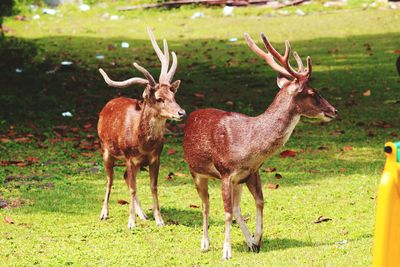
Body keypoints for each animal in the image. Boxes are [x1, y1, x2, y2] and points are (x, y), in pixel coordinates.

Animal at [97, 29, 186, 230]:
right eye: (159, 98)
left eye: (173, 96)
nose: (181, 112)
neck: (144, 144)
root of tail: (107, 105)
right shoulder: (130, 157)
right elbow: (132, 188)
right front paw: (131, 223)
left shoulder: (155, 158)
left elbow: (153, 186)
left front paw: (159, 219)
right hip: (105, 149)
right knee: (109, 180)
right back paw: (104, 213)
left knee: (124, 177)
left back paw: (143, 214)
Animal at [184, 33, 338, 260]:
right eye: (312, 92)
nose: (334, 111)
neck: (249, 146)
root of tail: (191, 117)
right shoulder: (225, 172)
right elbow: (226, 212)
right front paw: (227, 251)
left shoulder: (250, 172)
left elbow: (259, 202)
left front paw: (257, 240)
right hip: (196, 171)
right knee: (205, 205)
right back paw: (205, 243)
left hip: (236, 181)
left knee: (237, 208)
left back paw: (248, 242)